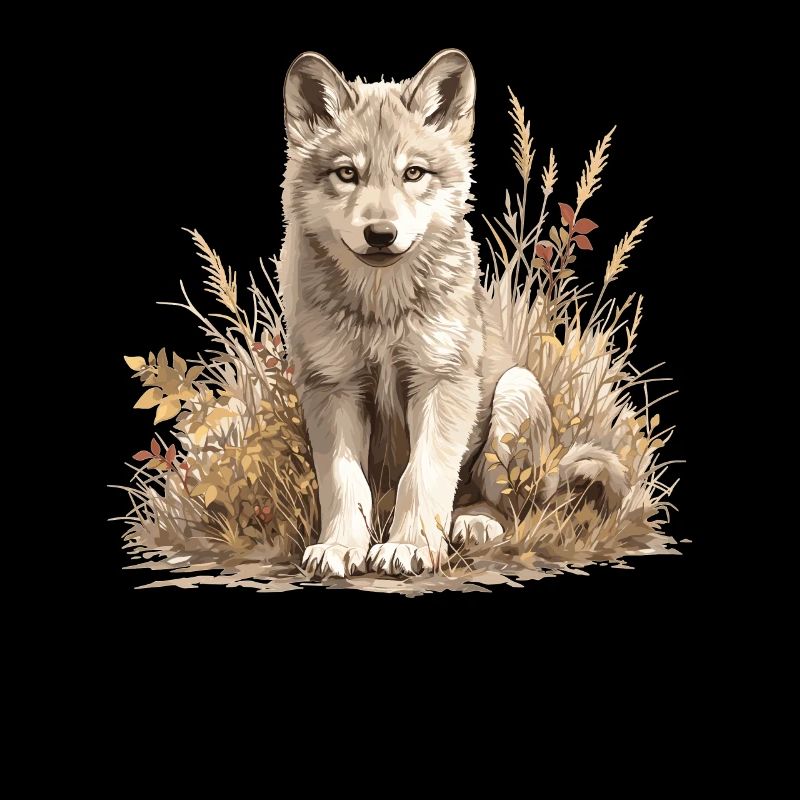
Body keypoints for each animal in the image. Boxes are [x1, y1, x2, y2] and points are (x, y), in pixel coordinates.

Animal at [279, 49, 628, 577]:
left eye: (413, 173)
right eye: (347, 174)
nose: (380, 234)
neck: (383, 309)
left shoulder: (442, 381)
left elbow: (423, 475)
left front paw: (410, 547)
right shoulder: (332, 387)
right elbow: (344, 483)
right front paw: (340, 547)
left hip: (515, 393)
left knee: (510, 508)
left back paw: (474, 523)